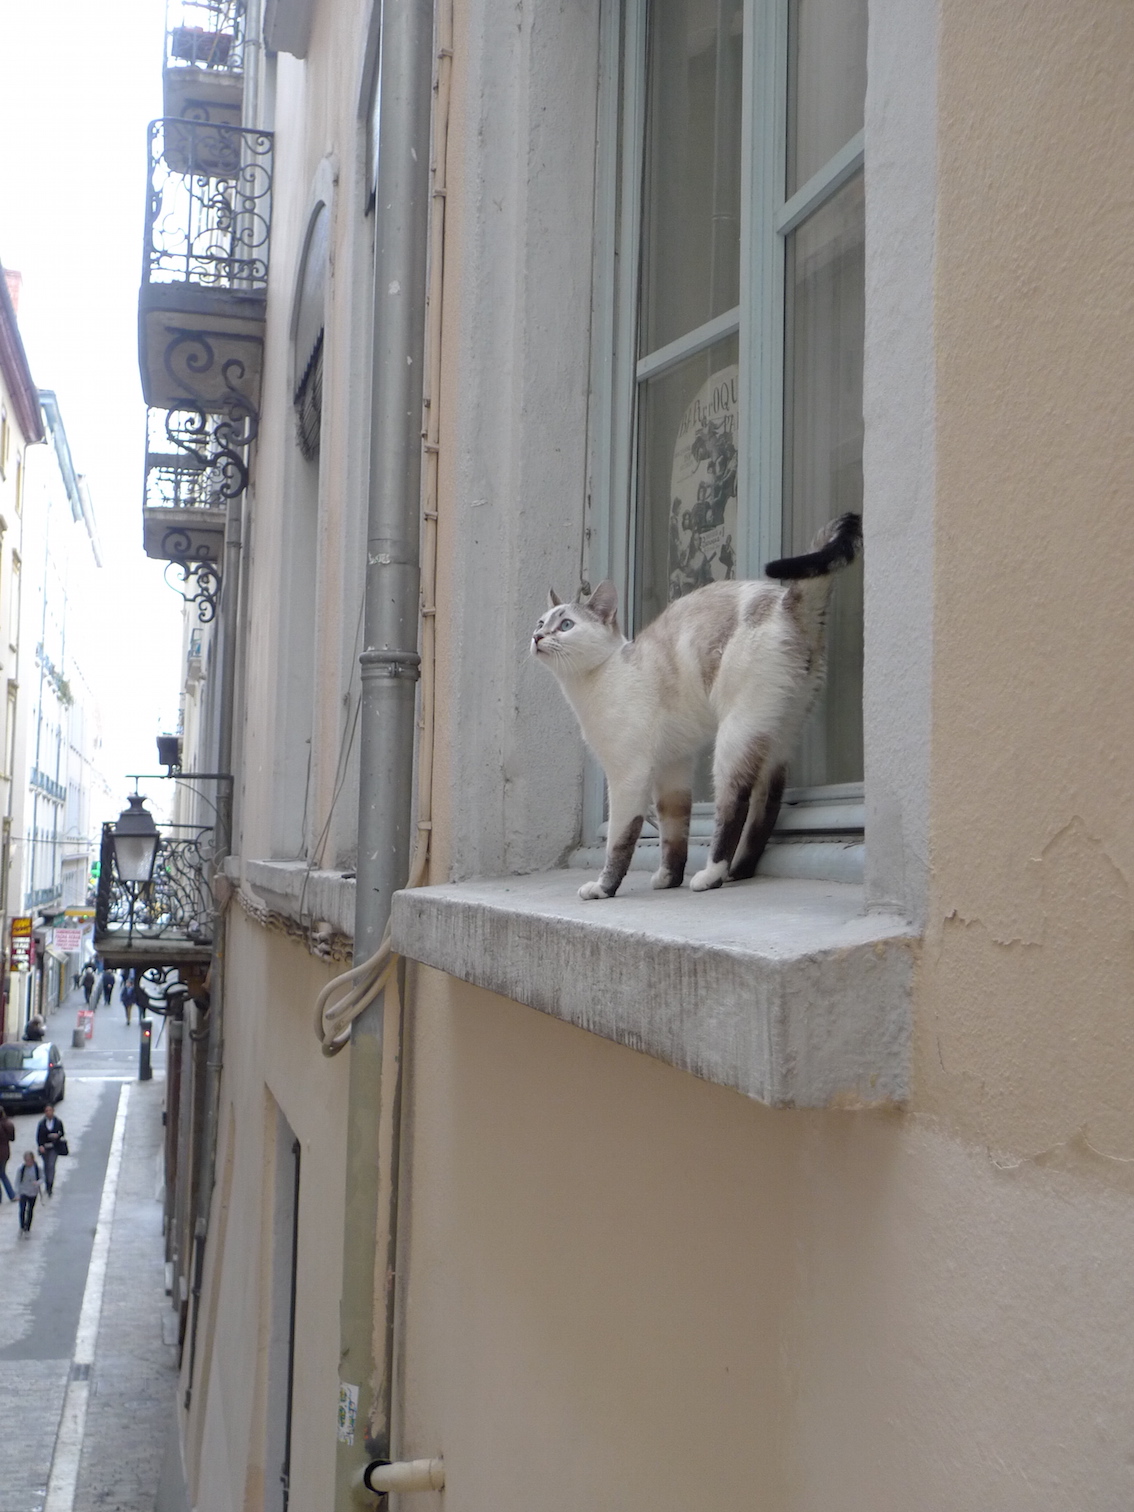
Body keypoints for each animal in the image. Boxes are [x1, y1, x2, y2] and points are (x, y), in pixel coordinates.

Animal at [532, 517, 858, 895]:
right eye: (541, 623)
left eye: (566, 625)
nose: (537, 637)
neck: (589, 684)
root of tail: (787, 601)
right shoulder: (671, 768)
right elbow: (674, 830)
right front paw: (668, 878)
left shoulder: (628, 775)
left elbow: (620, 841)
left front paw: (604, 887)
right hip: (777, 734)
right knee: (767, 802)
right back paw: (739, 871)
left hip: (734, 736)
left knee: (734, 804)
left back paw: (712, 874)